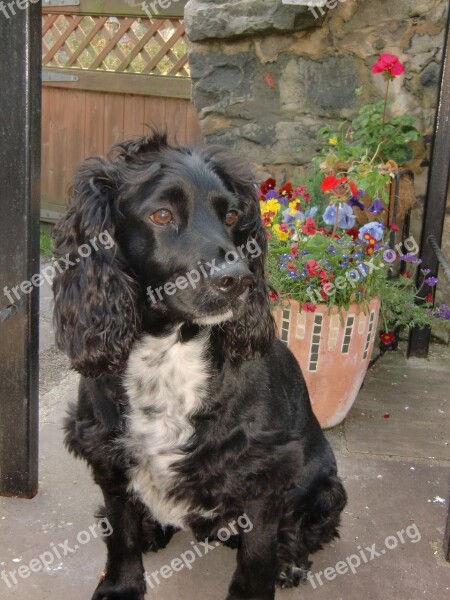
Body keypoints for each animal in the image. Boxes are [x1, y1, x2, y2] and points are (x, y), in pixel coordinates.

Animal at [53, 132, 348, 600]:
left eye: (231, 215)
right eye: (161, 214)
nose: (239, 279)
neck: (171, 349)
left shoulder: (264, 469)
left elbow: (257, 555)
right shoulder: (107, 453)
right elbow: (121, 533)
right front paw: (121, 585)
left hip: (325, 487)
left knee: (303, 530)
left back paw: (291, 561)